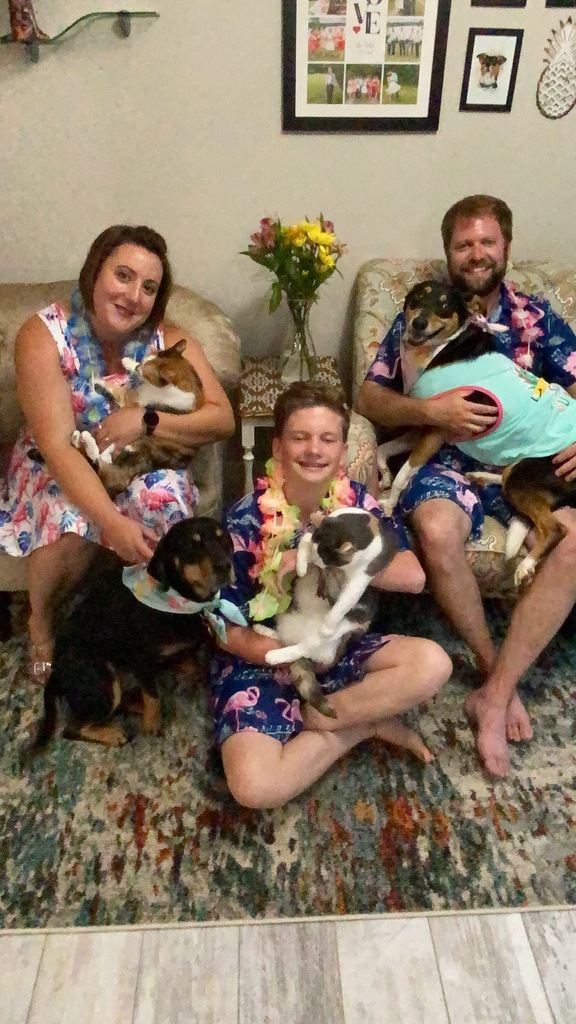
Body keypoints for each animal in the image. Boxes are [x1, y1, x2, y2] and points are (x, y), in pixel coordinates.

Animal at [30, 517, 235, 752]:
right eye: (192, 545)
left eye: (223, 538)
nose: (225, 566)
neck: (180, 602)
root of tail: (56, 671)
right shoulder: (141, 661)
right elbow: (152, 694)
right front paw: (152, 724)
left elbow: (188, 660)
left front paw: (194, 673)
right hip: (104, 680)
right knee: (72, 728)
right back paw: (113, 733)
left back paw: (136, 706)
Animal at [72, 339, 205, 496]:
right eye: (146, 359)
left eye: (145, 372)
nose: (138, 367)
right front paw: (129, 362)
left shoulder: (131, 399)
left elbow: (118, 390)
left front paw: (99, 381)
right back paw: (78, 438)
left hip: (129, 448)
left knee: (100, 460)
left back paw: (86, 439)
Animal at [260, 508, 399, 718]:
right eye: (317, 556)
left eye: (327, 559)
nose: (314, 563)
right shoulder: (313, 532)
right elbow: (304, 541)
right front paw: (301, 566)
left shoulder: (363, 575)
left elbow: (344, 602)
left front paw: (328, 623)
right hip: (286, 616)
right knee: (285, 637)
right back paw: (263, 631)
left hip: (345, 626)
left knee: (305, 646)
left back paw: (277, 654)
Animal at [381, 279, 576, 586]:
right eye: (418, 298)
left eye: (445, 305)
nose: (419, 322)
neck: (441, 349)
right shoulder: (424, 425)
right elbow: (383, 450)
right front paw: (384, 475)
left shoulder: (436, 432)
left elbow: (404, 476)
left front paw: (389, 504)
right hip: (519, 472)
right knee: (506, 477)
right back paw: (480, 476)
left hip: (528, 474)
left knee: (556, 528)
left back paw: (526, 566)